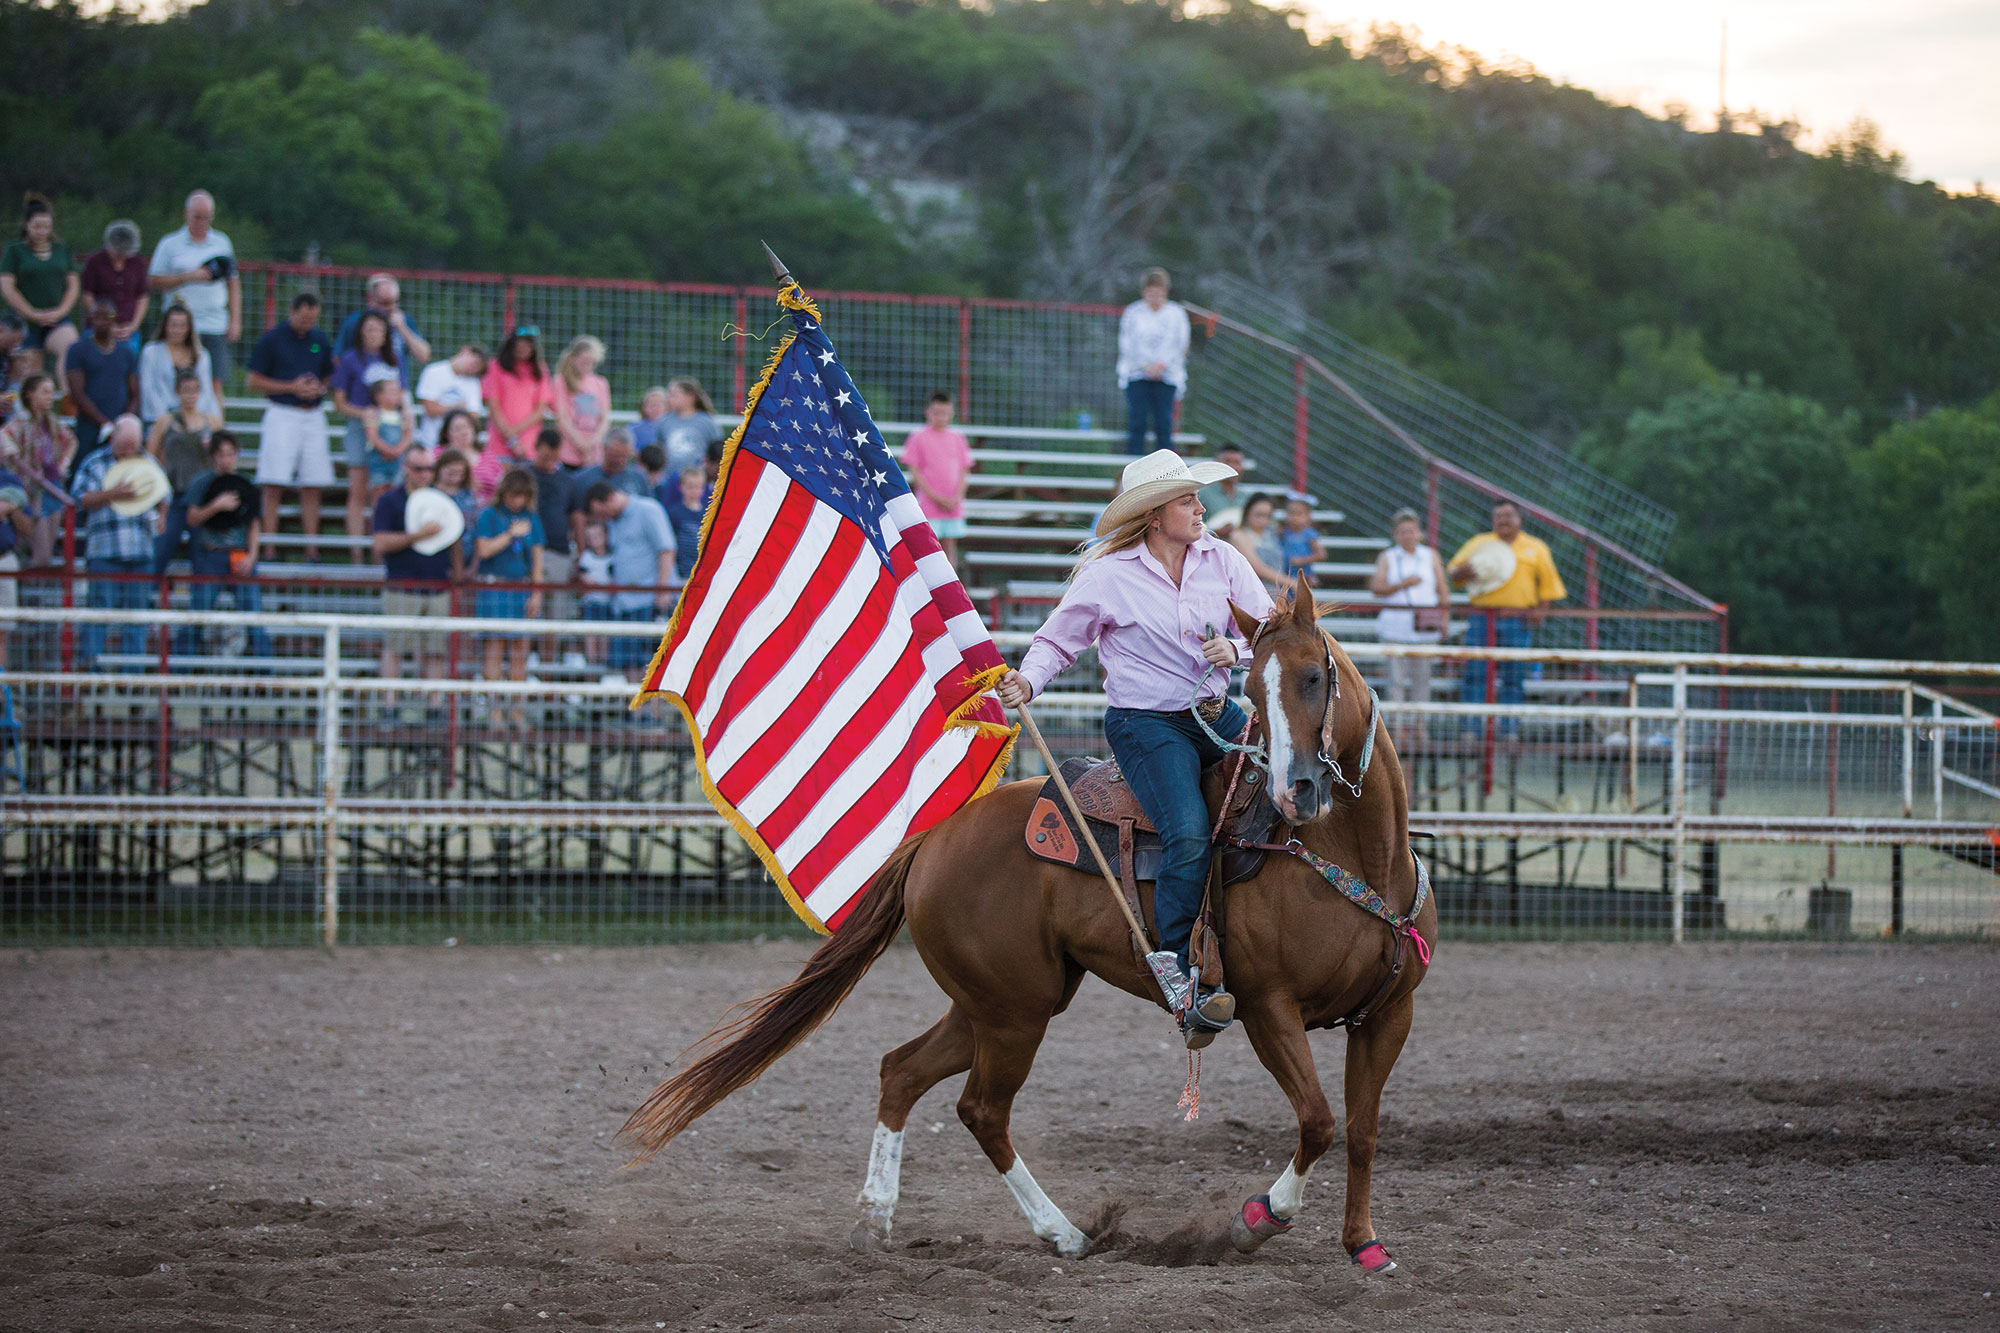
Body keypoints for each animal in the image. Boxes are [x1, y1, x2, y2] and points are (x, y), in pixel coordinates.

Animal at [624, 580, 1440, 1264]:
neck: (1352, 854)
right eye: (1256, 690)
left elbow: (1363, 1130)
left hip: (994, 1001)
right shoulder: (1269, 1006)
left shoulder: (1389, 1015)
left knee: (901, 1069)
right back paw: (1066, 1233)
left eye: (1312, 677)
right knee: (981, 1108)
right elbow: (1319, 1121)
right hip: (1015, 1010)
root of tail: (935, 837)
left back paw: (876, 1218)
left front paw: (1365, 1245)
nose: (1294, 790)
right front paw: (1259, 1217)